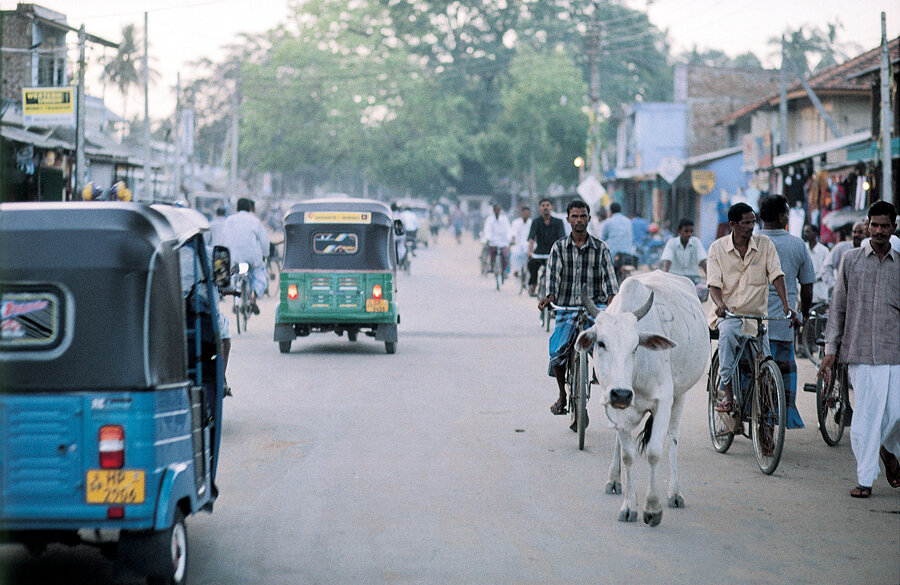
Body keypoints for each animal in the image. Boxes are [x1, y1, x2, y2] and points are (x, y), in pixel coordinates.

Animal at [576, 272, 712, 528]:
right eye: (601, 343)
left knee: (673, 438)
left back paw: (675, 493)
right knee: (620, 444)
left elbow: (654, 452)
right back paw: (614, 480)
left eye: (636, 346)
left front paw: (652, 509)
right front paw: (629, 506)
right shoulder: (616, 408)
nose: (621, 393)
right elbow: (628, 455)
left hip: (680, 395)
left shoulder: (664, 401)